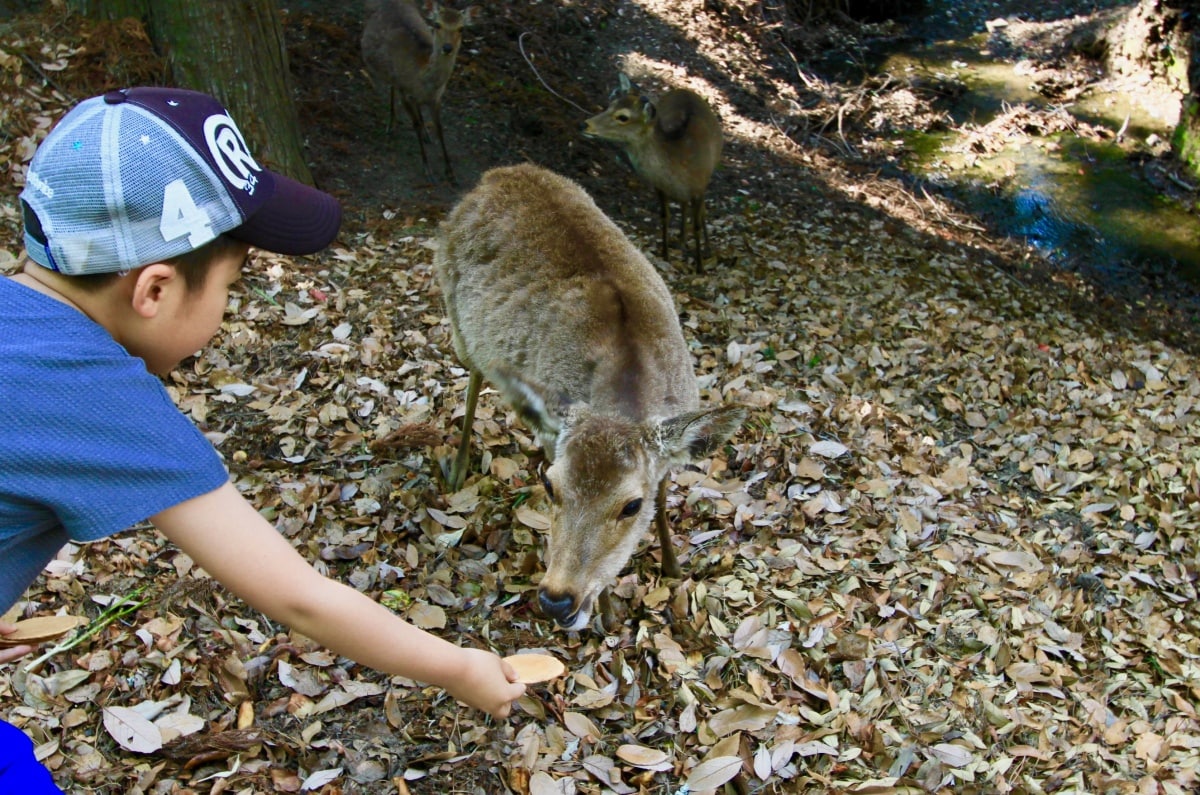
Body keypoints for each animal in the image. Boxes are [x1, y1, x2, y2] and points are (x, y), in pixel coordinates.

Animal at [360, 0, 477, 183]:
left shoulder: (437, 98)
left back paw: (425, 133)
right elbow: (414, 123)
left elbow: (439, 127)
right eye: (437, 24)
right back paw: (391, 124)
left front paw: (450, 172)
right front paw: (427, 168)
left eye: (461, 28)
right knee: (392, 89)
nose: (447, 47)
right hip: (387, 73)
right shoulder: (405, 92)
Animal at [432, 164, 748, 634]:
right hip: (456, 317)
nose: (556, 600)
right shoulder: (552, 438)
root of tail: (497, 174)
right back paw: (456, 470)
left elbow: (664, 491)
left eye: (631, 505)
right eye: (550, 485)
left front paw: (673, 566)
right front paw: (608, 612)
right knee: (472, 374)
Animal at [580, 74, 720, 273]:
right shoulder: (660, 185)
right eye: (610, 104)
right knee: (683, 204)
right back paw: (681, 240)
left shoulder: (699, 186)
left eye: (623, 117)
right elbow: (664, 215)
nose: (584, 124)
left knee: (701, 211)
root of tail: (685, 90)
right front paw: (665, 254)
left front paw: (700, 266)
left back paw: (705, 247)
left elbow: (698, 223)